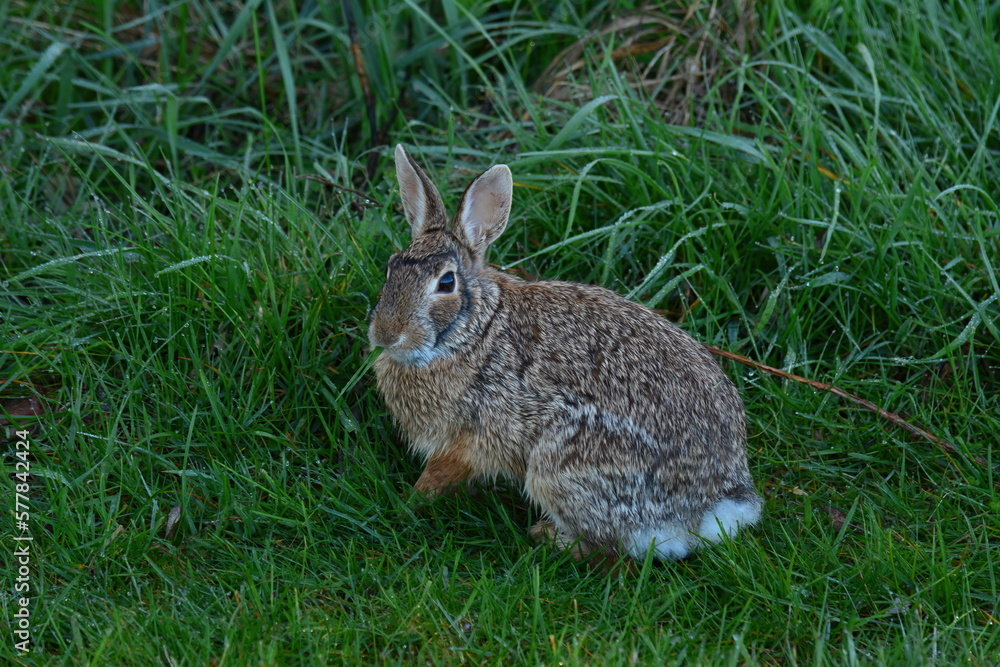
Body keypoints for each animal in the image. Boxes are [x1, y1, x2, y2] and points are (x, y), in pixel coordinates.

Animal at [368, 144, 762, 564]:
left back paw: (546, 537)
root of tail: (714, 505)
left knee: (610, 551)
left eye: (446, 283)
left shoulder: (469, 438)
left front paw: (407, 503)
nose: (386, 334)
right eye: (391, 267)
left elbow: (440, 475)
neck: (473, 330)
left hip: (561, 467)